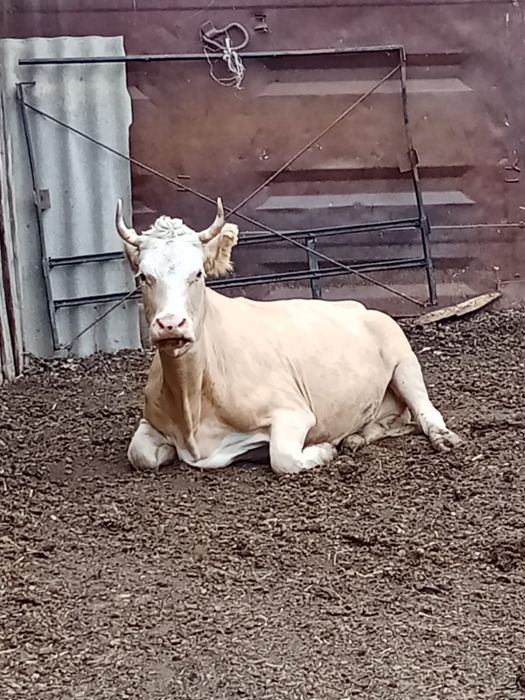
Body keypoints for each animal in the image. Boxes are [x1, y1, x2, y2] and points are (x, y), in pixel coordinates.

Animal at [115, 198, 461, 475]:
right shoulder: (150, 420)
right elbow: (139, 454)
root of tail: (359, 306)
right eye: (143, 276)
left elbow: (283, 458)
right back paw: (356, 437)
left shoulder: (293, 412)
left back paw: (441, 437)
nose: (171, 324)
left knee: (426, 412)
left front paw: (323, 450)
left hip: (404, 361)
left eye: (198, 273)